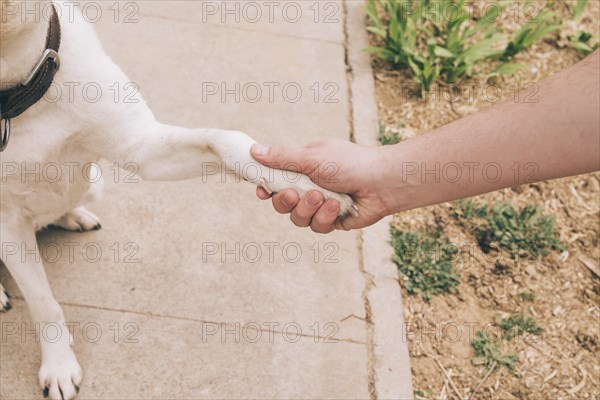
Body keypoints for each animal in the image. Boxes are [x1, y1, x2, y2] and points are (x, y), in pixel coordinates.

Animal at [0, 1, 354, 398]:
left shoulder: (143, 148)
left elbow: (226, 139)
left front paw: (311, 184)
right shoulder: (7, 225)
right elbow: (43, 303)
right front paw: (59, 365)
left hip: (94, 182)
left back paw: (71, 214)